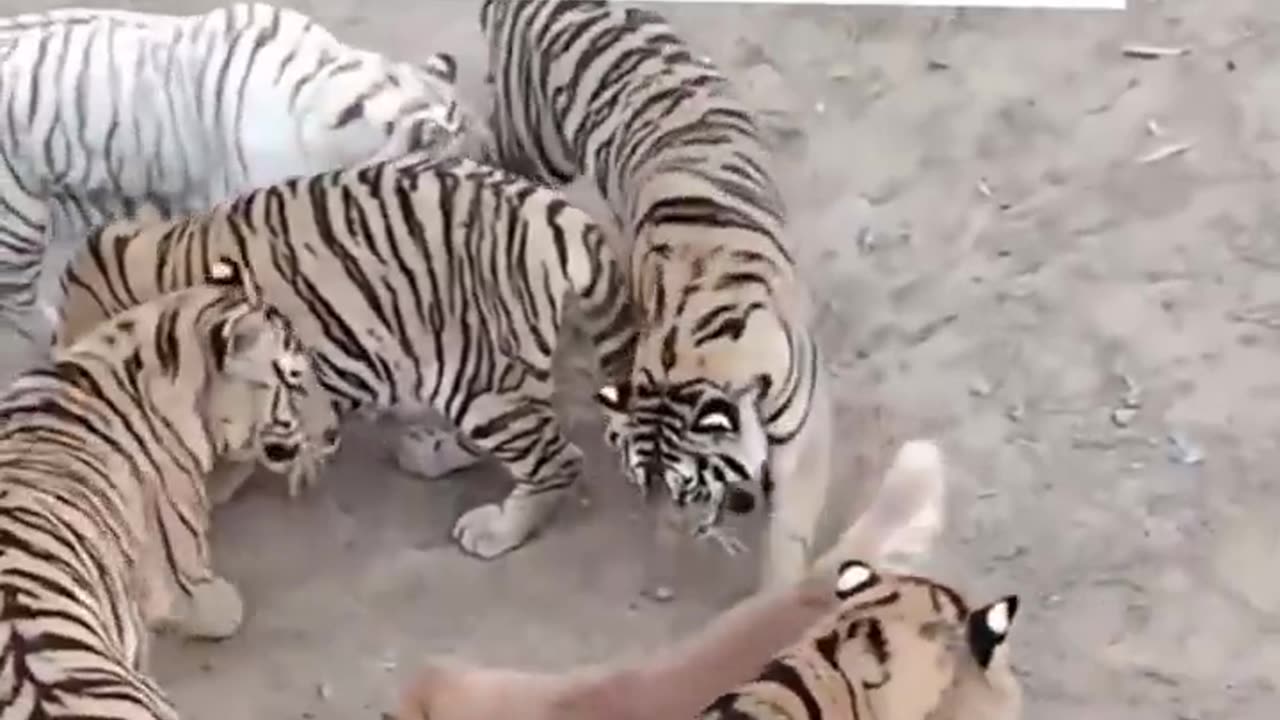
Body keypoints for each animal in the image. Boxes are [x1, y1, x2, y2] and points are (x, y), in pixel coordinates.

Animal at [52, 154, 637, 558]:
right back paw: (429, 451)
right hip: (487, 376)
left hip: (481, 379)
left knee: (558, 459)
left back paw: (497, 529)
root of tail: (563, 217)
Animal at [478, 0, 829, 586]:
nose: (678, 541)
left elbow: (788, 534)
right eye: (644, 482)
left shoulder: (803, 433)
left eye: (692, 487)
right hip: (535, 144)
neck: (700, 343)